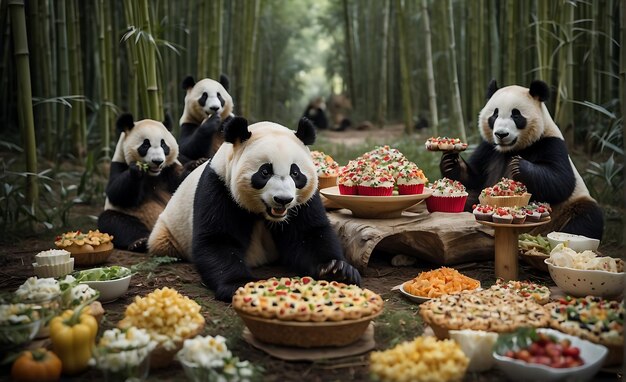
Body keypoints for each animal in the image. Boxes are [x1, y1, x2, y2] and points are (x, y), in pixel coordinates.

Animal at [147, 116, 360, 302]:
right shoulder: (219, 185)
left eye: (295, 173)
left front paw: (337, 271)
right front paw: (238, 284)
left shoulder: (303, 202)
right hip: (168, 230)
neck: (265, 214)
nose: (283, 200)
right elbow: (218, 238)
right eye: (265, 172)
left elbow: (308, 234)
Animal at [436, 80, 604, 240]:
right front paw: (451, 162)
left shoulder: (550, 143)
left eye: (516, 115)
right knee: (470, 198)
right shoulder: (488, 148)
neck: (511, 149)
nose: (501, 134)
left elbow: (561, 181)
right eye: (495, 115)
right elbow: (475, 177)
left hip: (568, 207)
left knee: (587, 218)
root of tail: (536, 230)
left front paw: (519, 166)